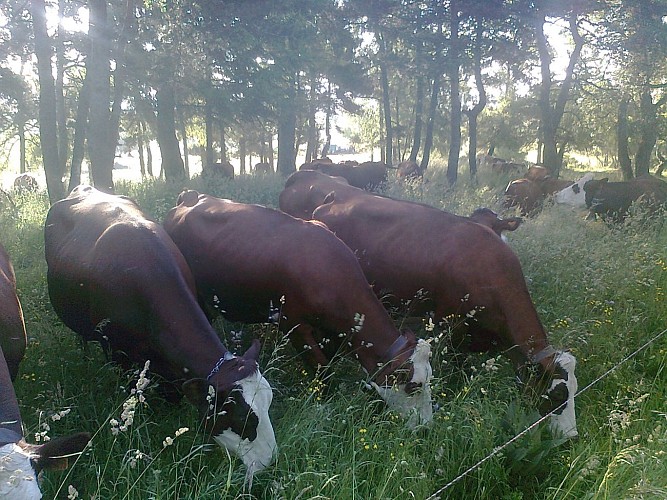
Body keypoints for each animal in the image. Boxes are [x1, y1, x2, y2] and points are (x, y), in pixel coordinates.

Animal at [164, 190, 436, 426]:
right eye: (413, 385)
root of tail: (189, 196)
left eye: (430, 378)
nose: (426, 426)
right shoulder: (294, 326)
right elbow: (323, 371)